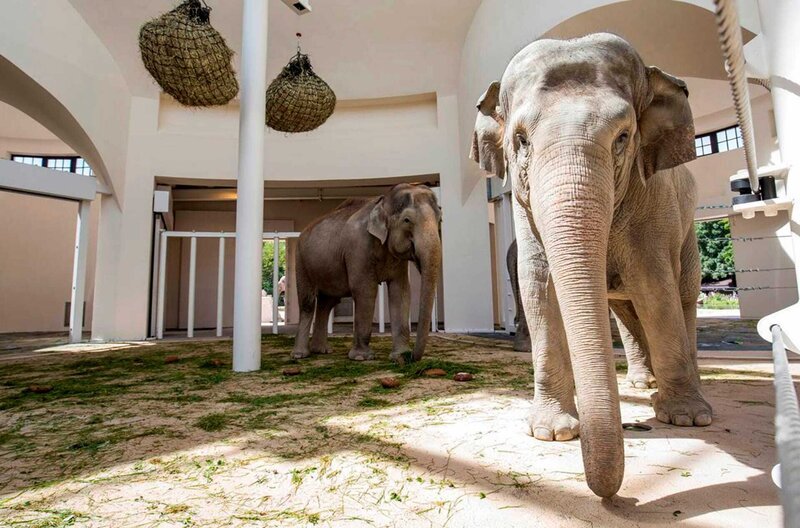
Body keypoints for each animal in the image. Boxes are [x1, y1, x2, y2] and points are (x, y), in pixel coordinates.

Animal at [290, 183, 440, 364]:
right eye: (407, 220)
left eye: (440, 219)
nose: (410, 358)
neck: (382, 200)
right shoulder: (358, 247)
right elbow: (365, 290)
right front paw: (362, 357)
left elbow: (401, 291)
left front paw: (399, 355)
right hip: (301, 260)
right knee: (308, 303)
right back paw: (300, 354)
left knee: (326, 304)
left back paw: (322, 351)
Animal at [472, 34, 708, 500]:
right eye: (520, 140)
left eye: (623, 137)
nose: (617, 495)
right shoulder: (525, 212)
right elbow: (538, 286)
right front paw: (552, 432)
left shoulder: (654, 199)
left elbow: (655, 285)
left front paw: (686, 419)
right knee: (624, 310)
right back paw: (641, 384)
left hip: (688, 223)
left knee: (682, 293)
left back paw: (684, 391)